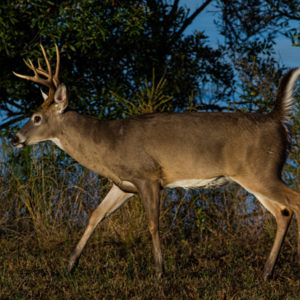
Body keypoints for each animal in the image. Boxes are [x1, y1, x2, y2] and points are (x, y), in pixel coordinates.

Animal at [11, 43, 300, 280]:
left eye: (36, 117)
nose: (15, 138)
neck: (108, 143)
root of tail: (277, 120)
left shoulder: (148, 175)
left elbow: (152, 224)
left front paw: (160, 272)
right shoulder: (124, 184)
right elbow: (96, 215)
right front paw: (69, 266)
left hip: (261, 171)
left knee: (294, 202)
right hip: (256, 176)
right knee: (283, 212)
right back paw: (265, 273)